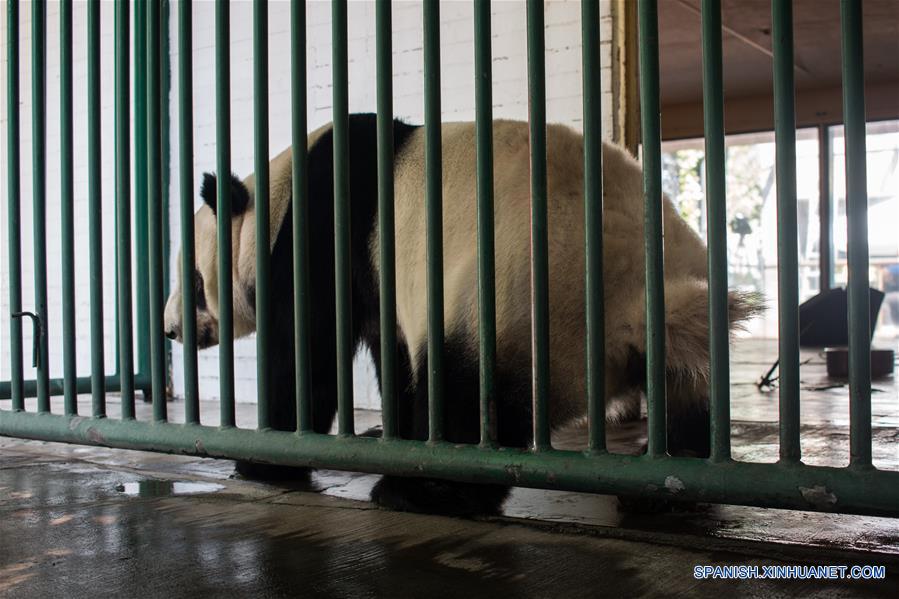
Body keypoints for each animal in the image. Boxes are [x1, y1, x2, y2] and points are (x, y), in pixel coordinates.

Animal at [163, 112, 760, 516]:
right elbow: (391, 355)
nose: (170, 330)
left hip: (517, 304)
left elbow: (308, 353)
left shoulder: (327, 236)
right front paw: (390, 436)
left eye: (192, 280)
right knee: (694, 389)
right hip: (687, 299)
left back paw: (421, 490)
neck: (275, 199)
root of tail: (635, 302)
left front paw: (264, 458)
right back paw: (685, 461)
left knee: (467, 398)